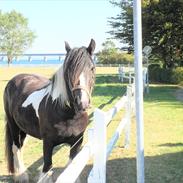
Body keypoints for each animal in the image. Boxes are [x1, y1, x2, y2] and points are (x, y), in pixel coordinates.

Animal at [3, 38, 96, 182]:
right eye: (68, 70)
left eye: (92, 68)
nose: (82, 103)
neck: (68, 114)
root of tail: (14, 80)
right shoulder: (48, 143)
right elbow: (47, 168)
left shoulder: (77, 142)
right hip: (14, 126)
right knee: (15, 148)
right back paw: (21, 176)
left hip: (23, 128)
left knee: (20, 147)